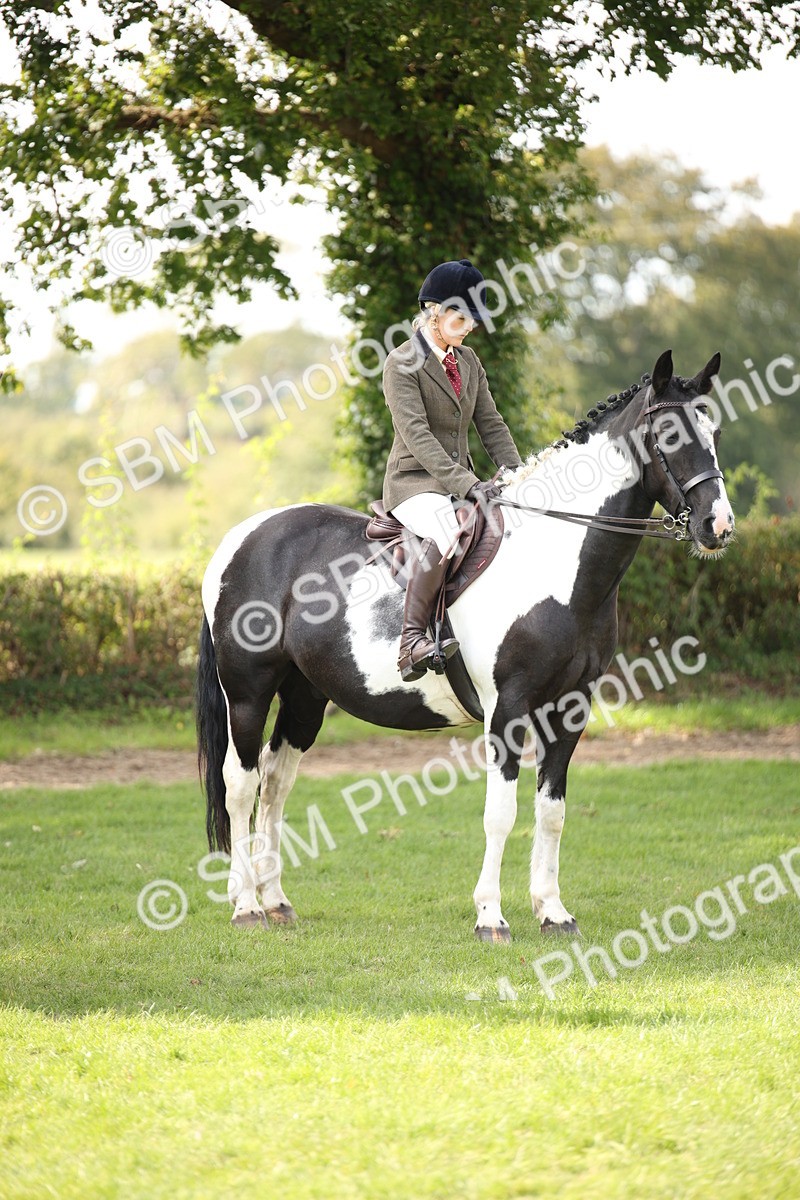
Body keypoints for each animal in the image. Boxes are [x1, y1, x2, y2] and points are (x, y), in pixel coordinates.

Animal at [196, 349, 734, 941]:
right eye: (669, 435)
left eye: (715, 431)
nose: (718, 526)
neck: (554, 561)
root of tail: (241, 537)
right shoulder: (508, 709)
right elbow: (500, 814)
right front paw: (491, 917)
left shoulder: (570, 708)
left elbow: (552, 813)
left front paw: (553, 912)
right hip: (248, 693)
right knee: (240, 783)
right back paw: (246, 905)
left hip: (304, 696)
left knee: (275, 781)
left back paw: (276, 901)